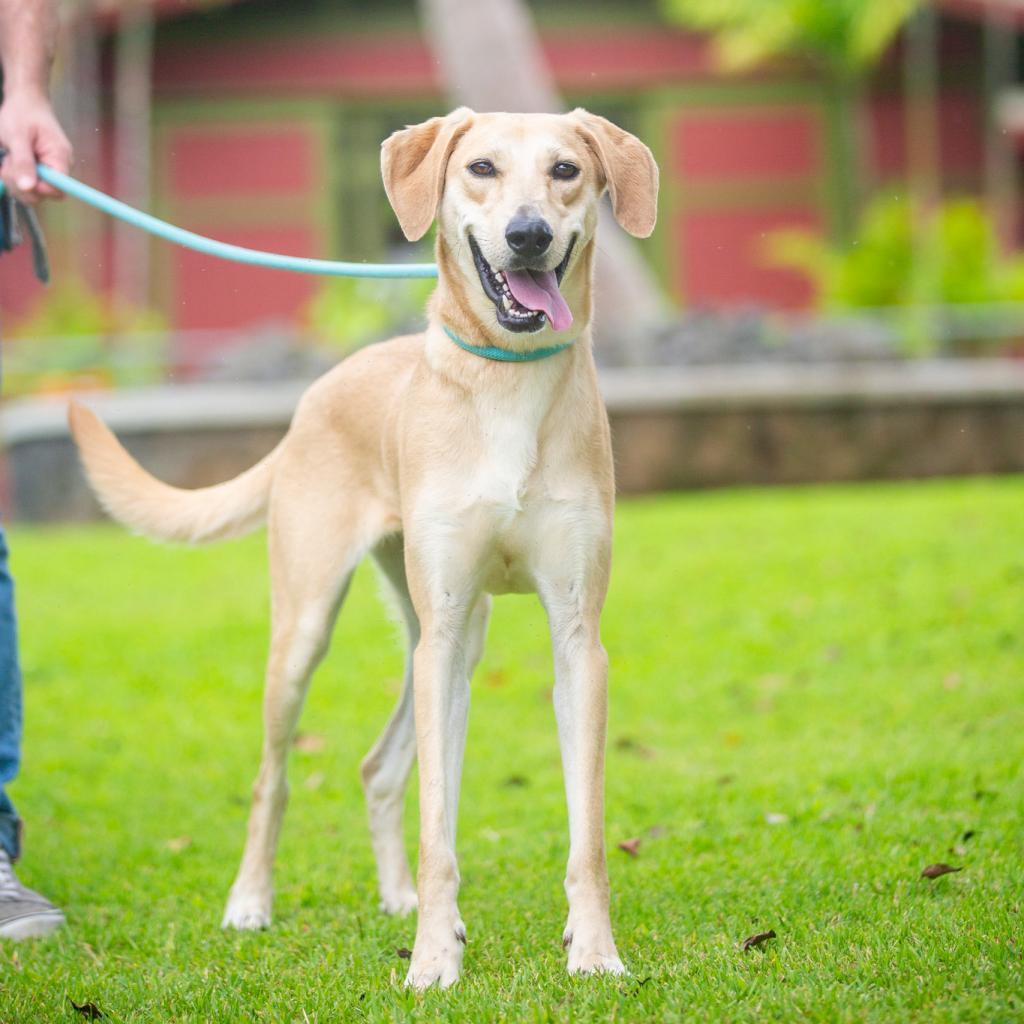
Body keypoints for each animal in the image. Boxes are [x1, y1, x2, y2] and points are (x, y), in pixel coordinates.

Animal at [68, 108, 659, 987]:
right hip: (320, 630)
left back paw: (401, 901)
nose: (527, 235)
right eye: (481, 167)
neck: (507, 379)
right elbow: (438, 828)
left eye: (565, 171)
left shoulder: (577, 638)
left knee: (379, 769)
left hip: (460, 636)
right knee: (272, 779)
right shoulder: (439, 633)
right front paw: (434, 963)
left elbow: (585, 831)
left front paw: (591, 951)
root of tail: (312, 397)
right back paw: (253, 903)